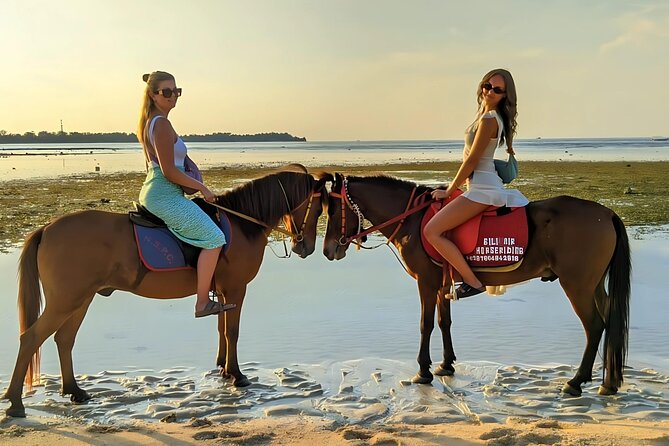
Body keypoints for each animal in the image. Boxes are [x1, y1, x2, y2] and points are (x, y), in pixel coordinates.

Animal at [3, 165, 328, 418]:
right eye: (317, 208)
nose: (306, 247)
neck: (241, 223)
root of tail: (46, 228)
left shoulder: (224, 294)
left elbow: (221, 329)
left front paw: (223, 369)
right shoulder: (236, 290)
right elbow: (232, 332)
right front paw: (237, 375)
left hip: (80, 300)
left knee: (64, 339)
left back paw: (74, 390)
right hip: (65, 301)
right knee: (31, 338)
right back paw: (16, 402)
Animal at [321, 172, 630, 397]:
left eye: (333, 210)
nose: (328, 250)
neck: (414, 219)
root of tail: (606, 213)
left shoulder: (426, 282)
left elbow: (426, 324)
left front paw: (423, 371)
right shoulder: (441, 283)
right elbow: (444, 321)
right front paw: (446, 364)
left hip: (577, 285)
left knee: (594, 326)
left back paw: (576, 381)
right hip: (593, 285)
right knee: (610, 321)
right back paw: (609, 381)